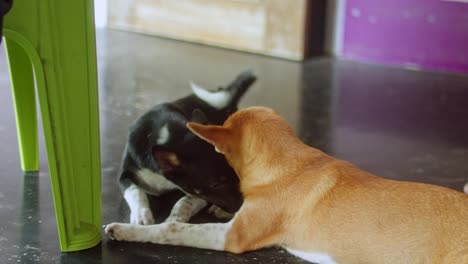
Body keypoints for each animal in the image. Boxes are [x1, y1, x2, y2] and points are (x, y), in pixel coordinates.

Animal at [119, 71, 254, 226]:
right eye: (215, 184)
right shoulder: (125, 173)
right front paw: (141, 215)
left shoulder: (198, 194)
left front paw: (175, 218)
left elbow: (184, 201)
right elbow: (135, 191)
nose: (246, 205)